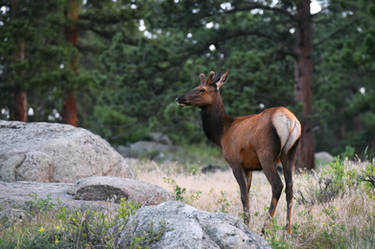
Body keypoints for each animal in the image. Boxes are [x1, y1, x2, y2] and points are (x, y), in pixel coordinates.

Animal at [177, 70, 302, 233]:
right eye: (196, 86)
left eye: (202, 89)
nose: (179, 98)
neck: (221, 134)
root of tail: (290, 122)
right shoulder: (248, 167)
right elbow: (247, 193)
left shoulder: (235, 162)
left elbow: (243, 195)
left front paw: (246, 225)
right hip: (290, 154)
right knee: (290, 188)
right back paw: (288, 231)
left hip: (266, 154)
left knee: (277, 186)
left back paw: (264, 229)